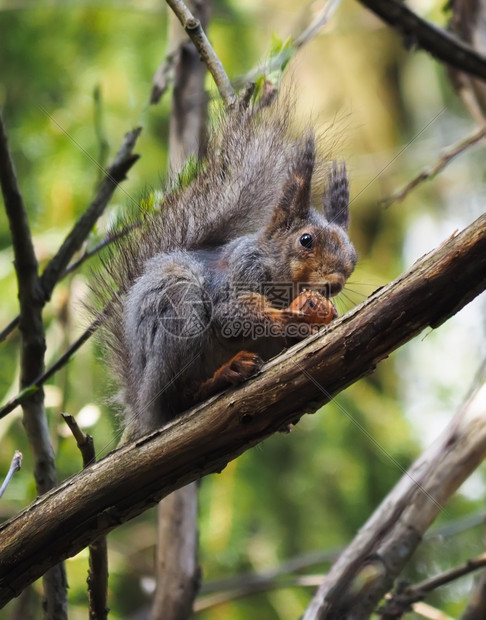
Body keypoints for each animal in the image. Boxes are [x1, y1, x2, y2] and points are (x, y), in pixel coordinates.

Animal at [94, 97, 356, 438]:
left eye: (353, 259)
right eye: (306, 240)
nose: (334, 284)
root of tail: (141, 405)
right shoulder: (239, 273)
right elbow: (230, 314)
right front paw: (288, 317)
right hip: (178, 316)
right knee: (179, 399)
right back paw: (223, 374)